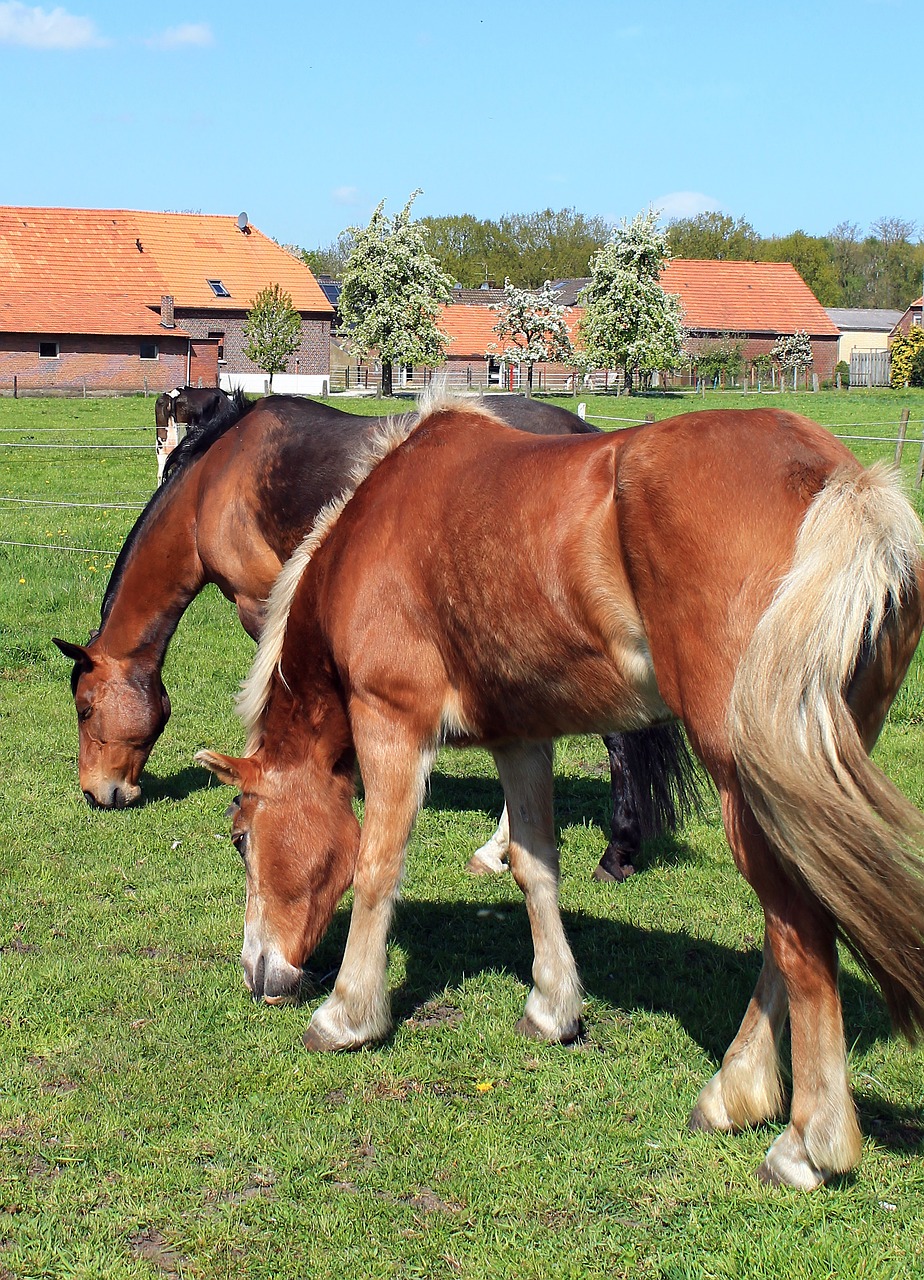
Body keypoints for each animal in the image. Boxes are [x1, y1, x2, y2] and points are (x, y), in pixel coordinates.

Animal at [198, 396, 921, 1187]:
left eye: (241, 840)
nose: (256, 972)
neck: (379, 528)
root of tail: (842, 483)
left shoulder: (392, 719)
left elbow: (376, 870)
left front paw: (347, 1015)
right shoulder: (521, 737)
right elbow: (533, 865)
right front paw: (552, 1006)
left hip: (751, 779)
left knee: (800, 930)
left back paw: (807, 1141)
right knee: (788, 929)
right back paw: (736, 1092)